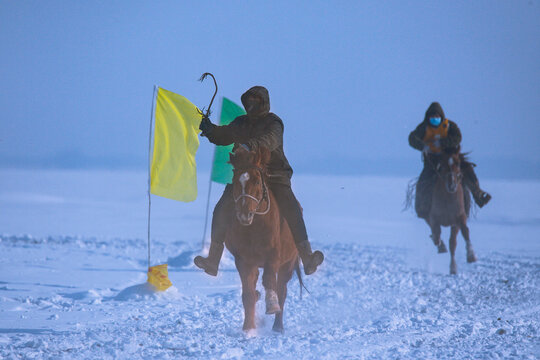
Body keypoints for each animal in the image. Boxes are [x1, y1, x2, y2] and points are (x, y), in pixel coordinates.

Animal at [224, 145, 300, 334]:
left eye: (257, 181)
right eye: (235, 180)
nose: (244, 215)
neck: (254, 228)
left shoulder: (273, 257)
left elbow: (270, 281)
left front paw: (272, 305)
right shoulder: (243, 260)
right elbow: (248, 293)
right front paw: (248, 328)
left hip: (288, 264)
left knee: (282, 290)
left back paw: (278, 326)